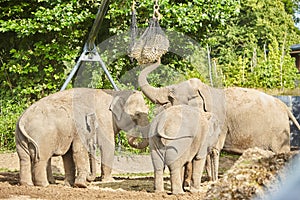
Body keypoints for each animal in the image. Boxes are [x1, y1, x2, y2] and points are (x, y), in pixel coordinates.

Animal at [15, 88, 149, 187]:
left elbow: (69, 155)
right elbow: (107, 146)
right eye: (137, 114)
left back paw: (28, 184)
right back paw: (45, 185)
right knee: (41, 158)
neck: (115, 93)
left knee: (24, 159)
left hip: (20, 138)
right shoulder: (104, 119)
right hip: (43, 137)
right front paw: (108, 181)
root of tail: (23, 120)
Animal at [138, 59, 300, 181]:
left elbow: (212, 148)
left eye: (170, 97)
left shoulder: (219, 121)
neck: (205, 90)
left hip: (280, 134)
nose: (158, 58)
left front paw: (213, 181)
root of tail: (286, 108)